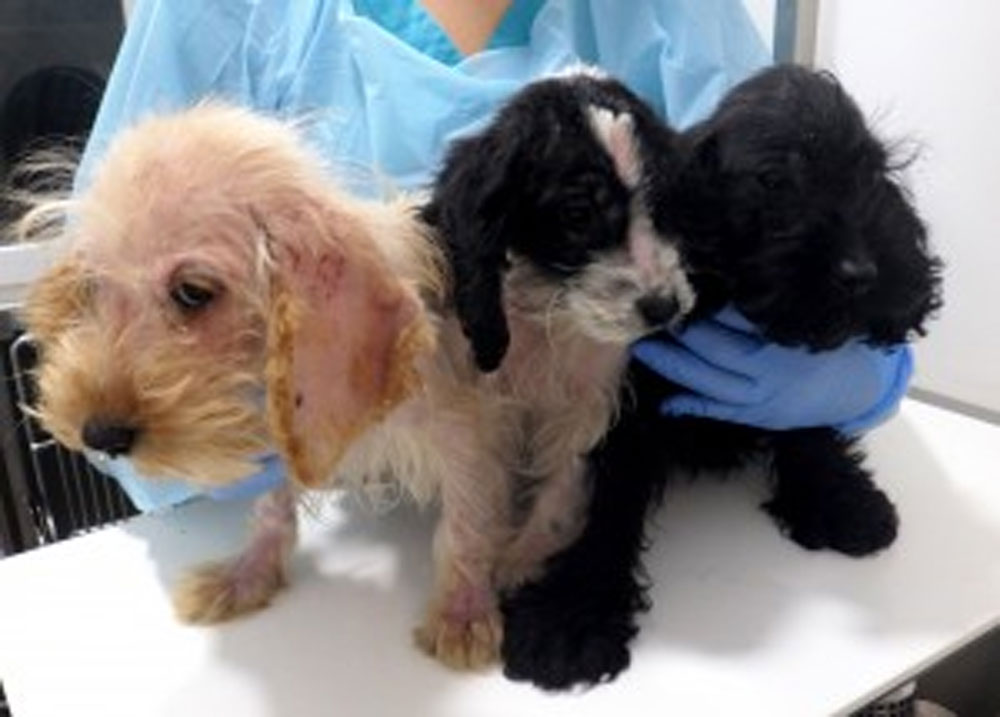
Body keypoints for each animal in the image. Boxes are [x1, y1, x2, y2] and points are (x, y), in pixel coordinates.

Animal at [418, 70, 692, 592]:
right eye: (578, 214)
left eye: (661, 203)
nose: (664, 307)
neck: (552, 309)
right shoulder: (491, 403)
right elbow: (487, 484)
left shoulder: (592, 401)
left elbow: (564, 486)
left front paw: (520, 561)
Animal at [500, 65, 944, 688]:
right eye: (773, 181)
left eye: (870, 172)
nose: (861, 272)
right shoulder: (622, 416)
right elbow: (600, 505)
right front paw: (569, 618)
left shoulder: (791, 388)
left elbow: (808, 424)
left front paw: (840, 500)